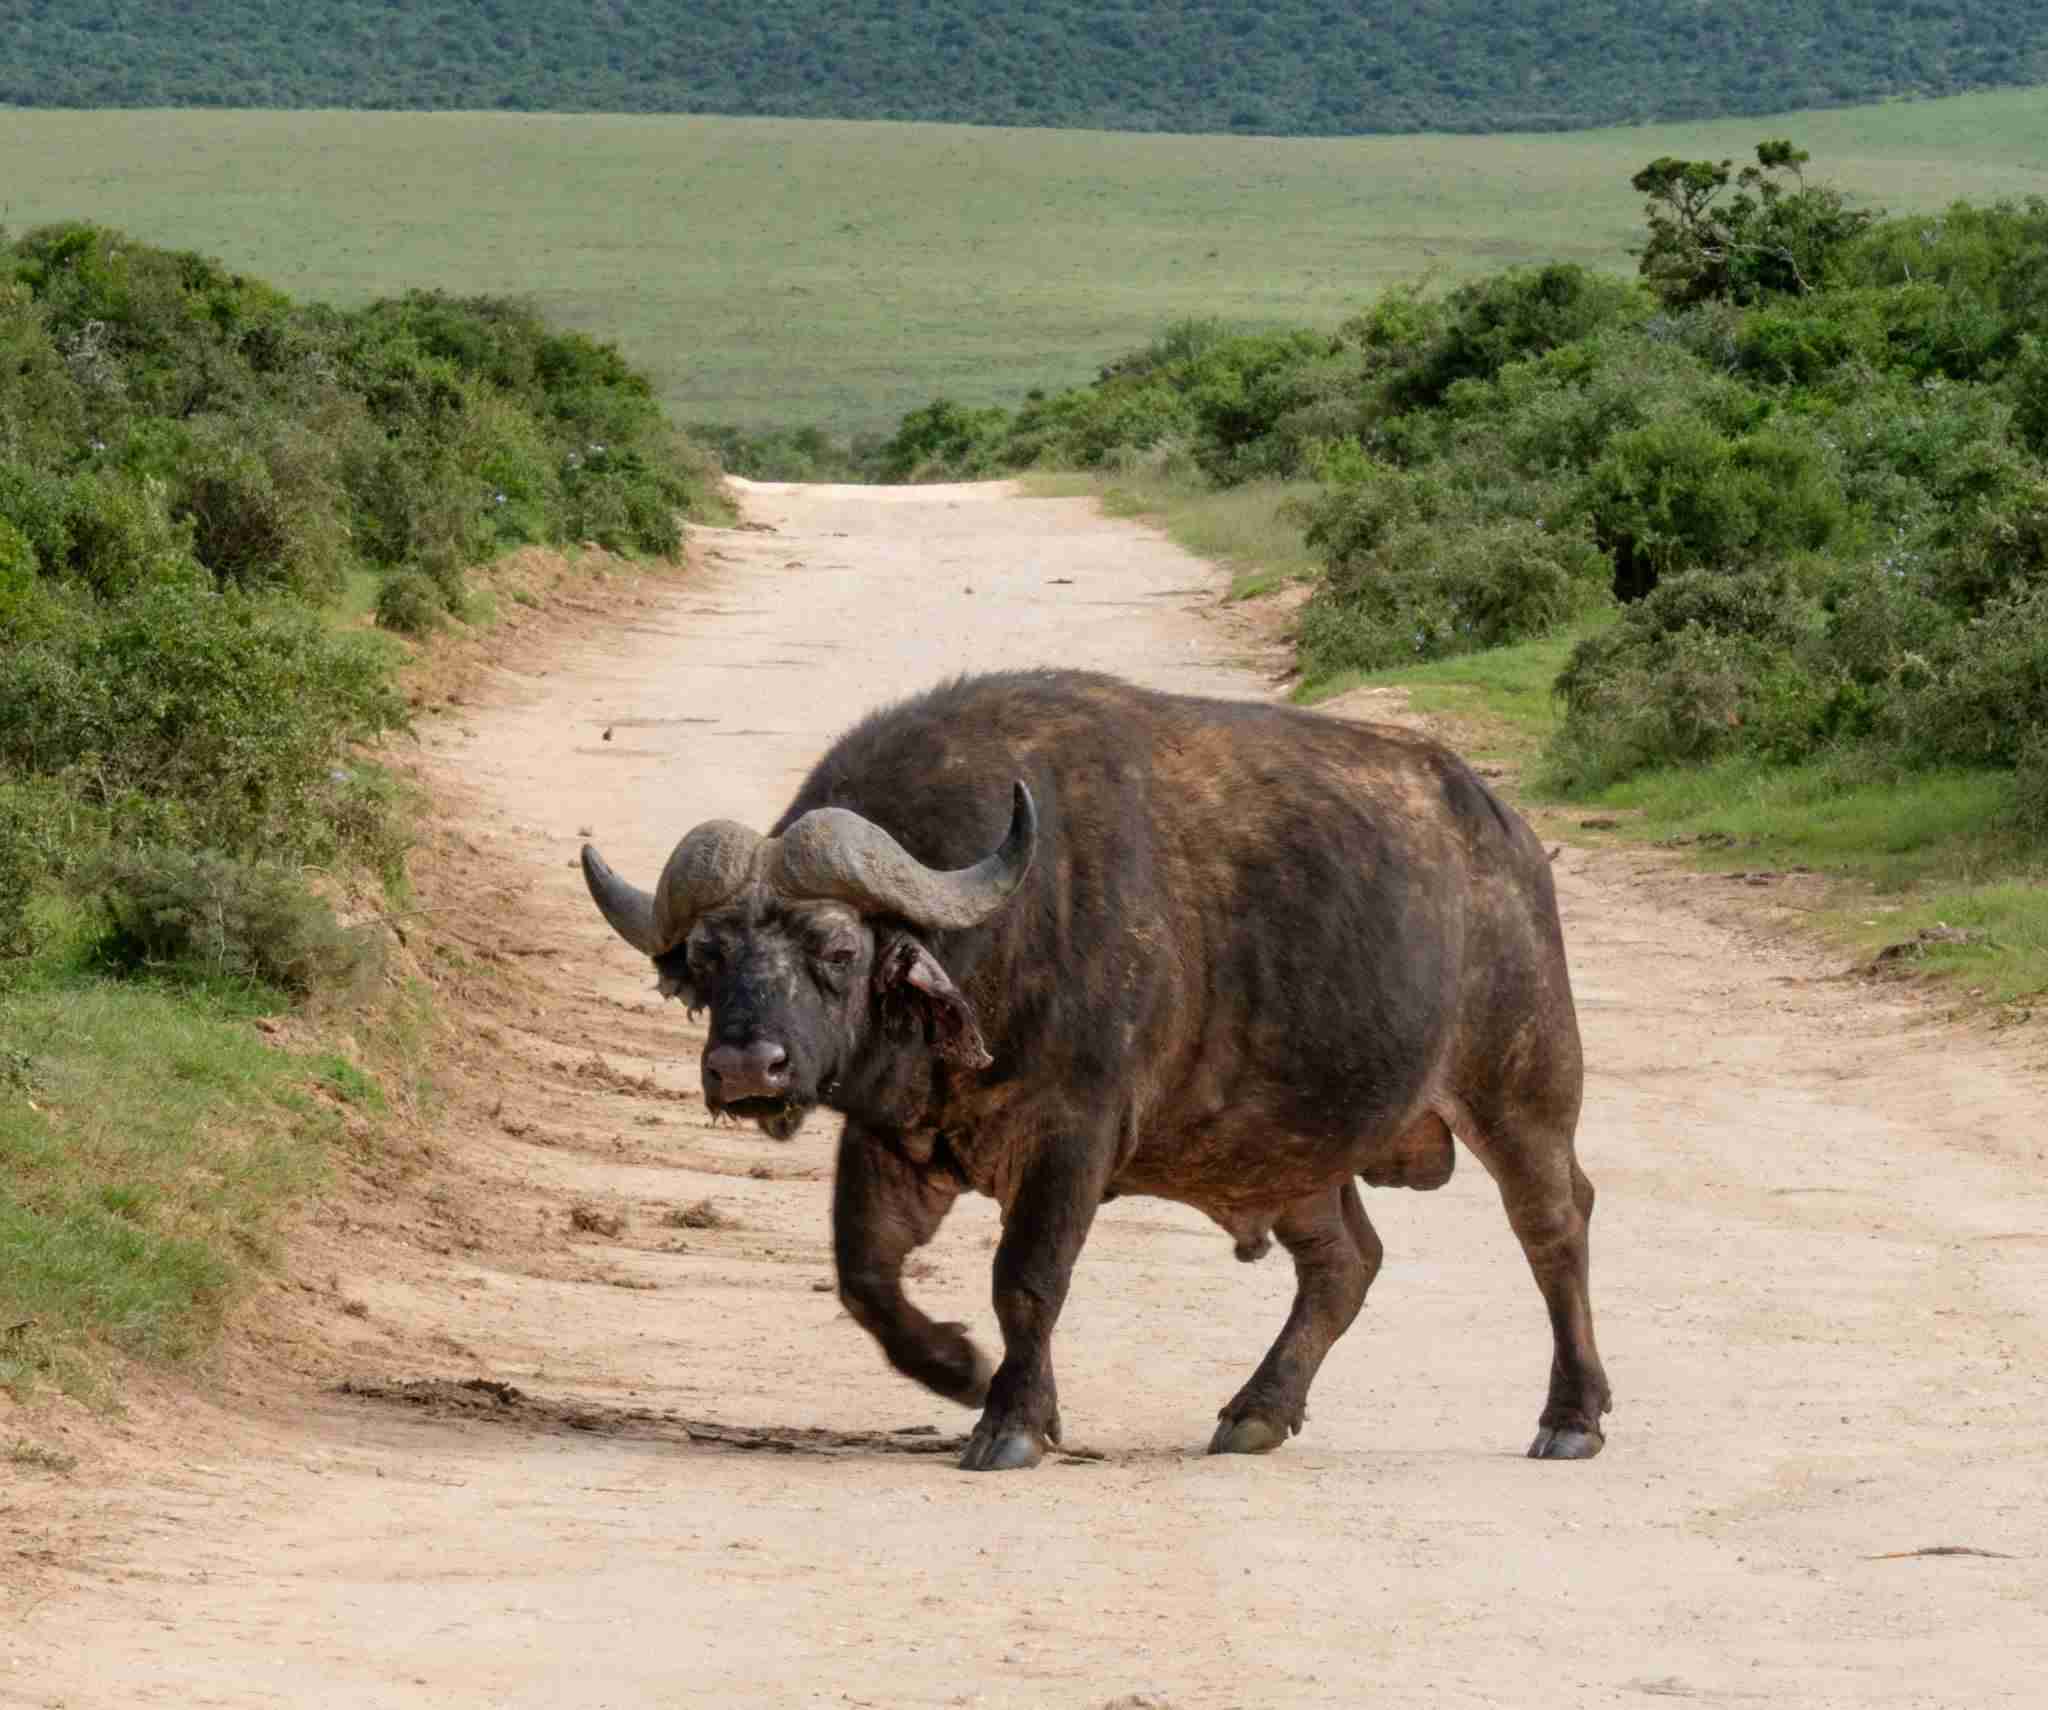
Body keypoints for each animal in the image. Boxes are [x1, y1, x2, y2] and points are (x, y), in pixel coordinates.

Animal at [581, 671, 1611, 1471]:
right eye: (709, 956)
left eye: (835, 946)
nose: (746, 1065)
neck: (997, 938)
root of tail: (1506, 835)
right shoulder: (894, 1136)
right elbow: (864, 1276)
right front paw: (959, 1368)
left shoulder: (1072, 1134)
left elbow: (1027, 1277)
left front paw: (1011, 1421)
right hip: (1288, 1146)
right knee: (1345, 1261)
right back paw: (1256, 1412)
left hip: (1522, 1090)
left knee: (1554, 1226)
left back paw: (1572, 1417)